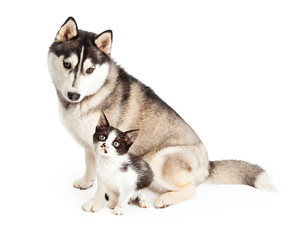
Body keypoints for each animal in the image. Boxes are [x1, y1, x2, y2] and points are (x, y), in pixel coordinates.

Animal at [48, 16, 276, 208]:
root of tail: (207, 165)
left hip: (159, 159)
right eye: (67, 64)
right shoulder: (91, 143)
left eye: (90, 70)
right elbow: (90, 166)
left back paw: (165, 199)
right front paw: (86, 182)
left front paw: (96, 202)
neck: (94, 93)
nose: (73, 95)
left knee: (192, 189)